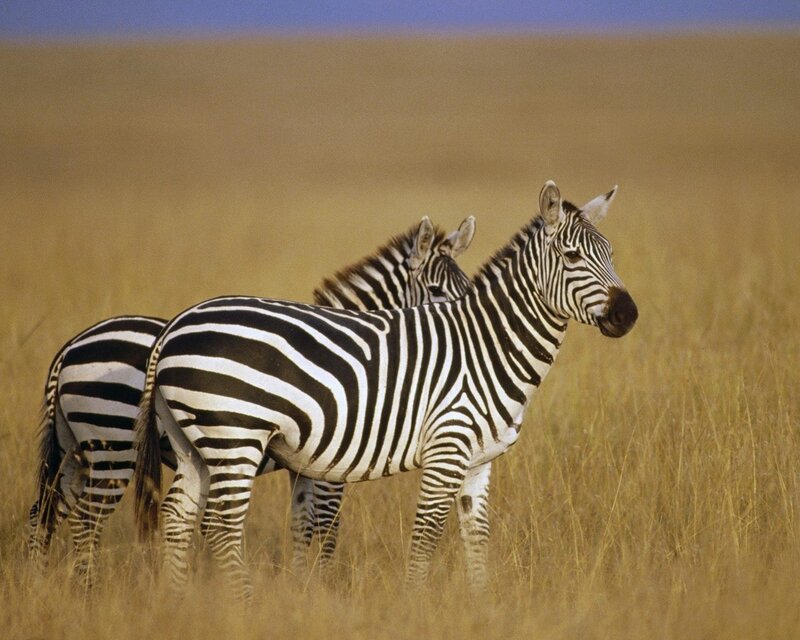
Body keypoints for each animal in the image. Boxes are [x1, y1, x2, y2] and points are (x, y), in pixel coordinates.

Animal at [27, 215, 475, 586]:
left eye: (468, 289)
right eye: (437, 291)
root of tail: (69, 350)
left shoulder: (304, 467)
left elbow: (301, 525)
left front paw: (301, 587)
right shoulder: (331, 467)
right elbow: (326, 528)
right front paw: (323, 587)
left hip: (75, 451)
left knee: (45, 514)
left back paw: (42, 586)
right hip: (113, 445)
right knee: (85, 520)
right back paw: (87, 590)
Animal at [133, 180, 638, 600]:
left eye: (611, 253)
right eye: (572, 257)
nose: (628, 314)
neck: (486, 347)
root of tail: (176, 325)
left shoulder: (478, 462)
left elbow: (476, 540)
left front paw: (481, 607)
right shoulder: (439, 451)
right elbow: (421, 535)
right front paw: (409, 605)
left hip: (194, 443)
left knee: (178, 516)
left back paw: (180, 601)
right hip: (234, 436)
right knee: (221, 526)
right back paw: (244, 604)